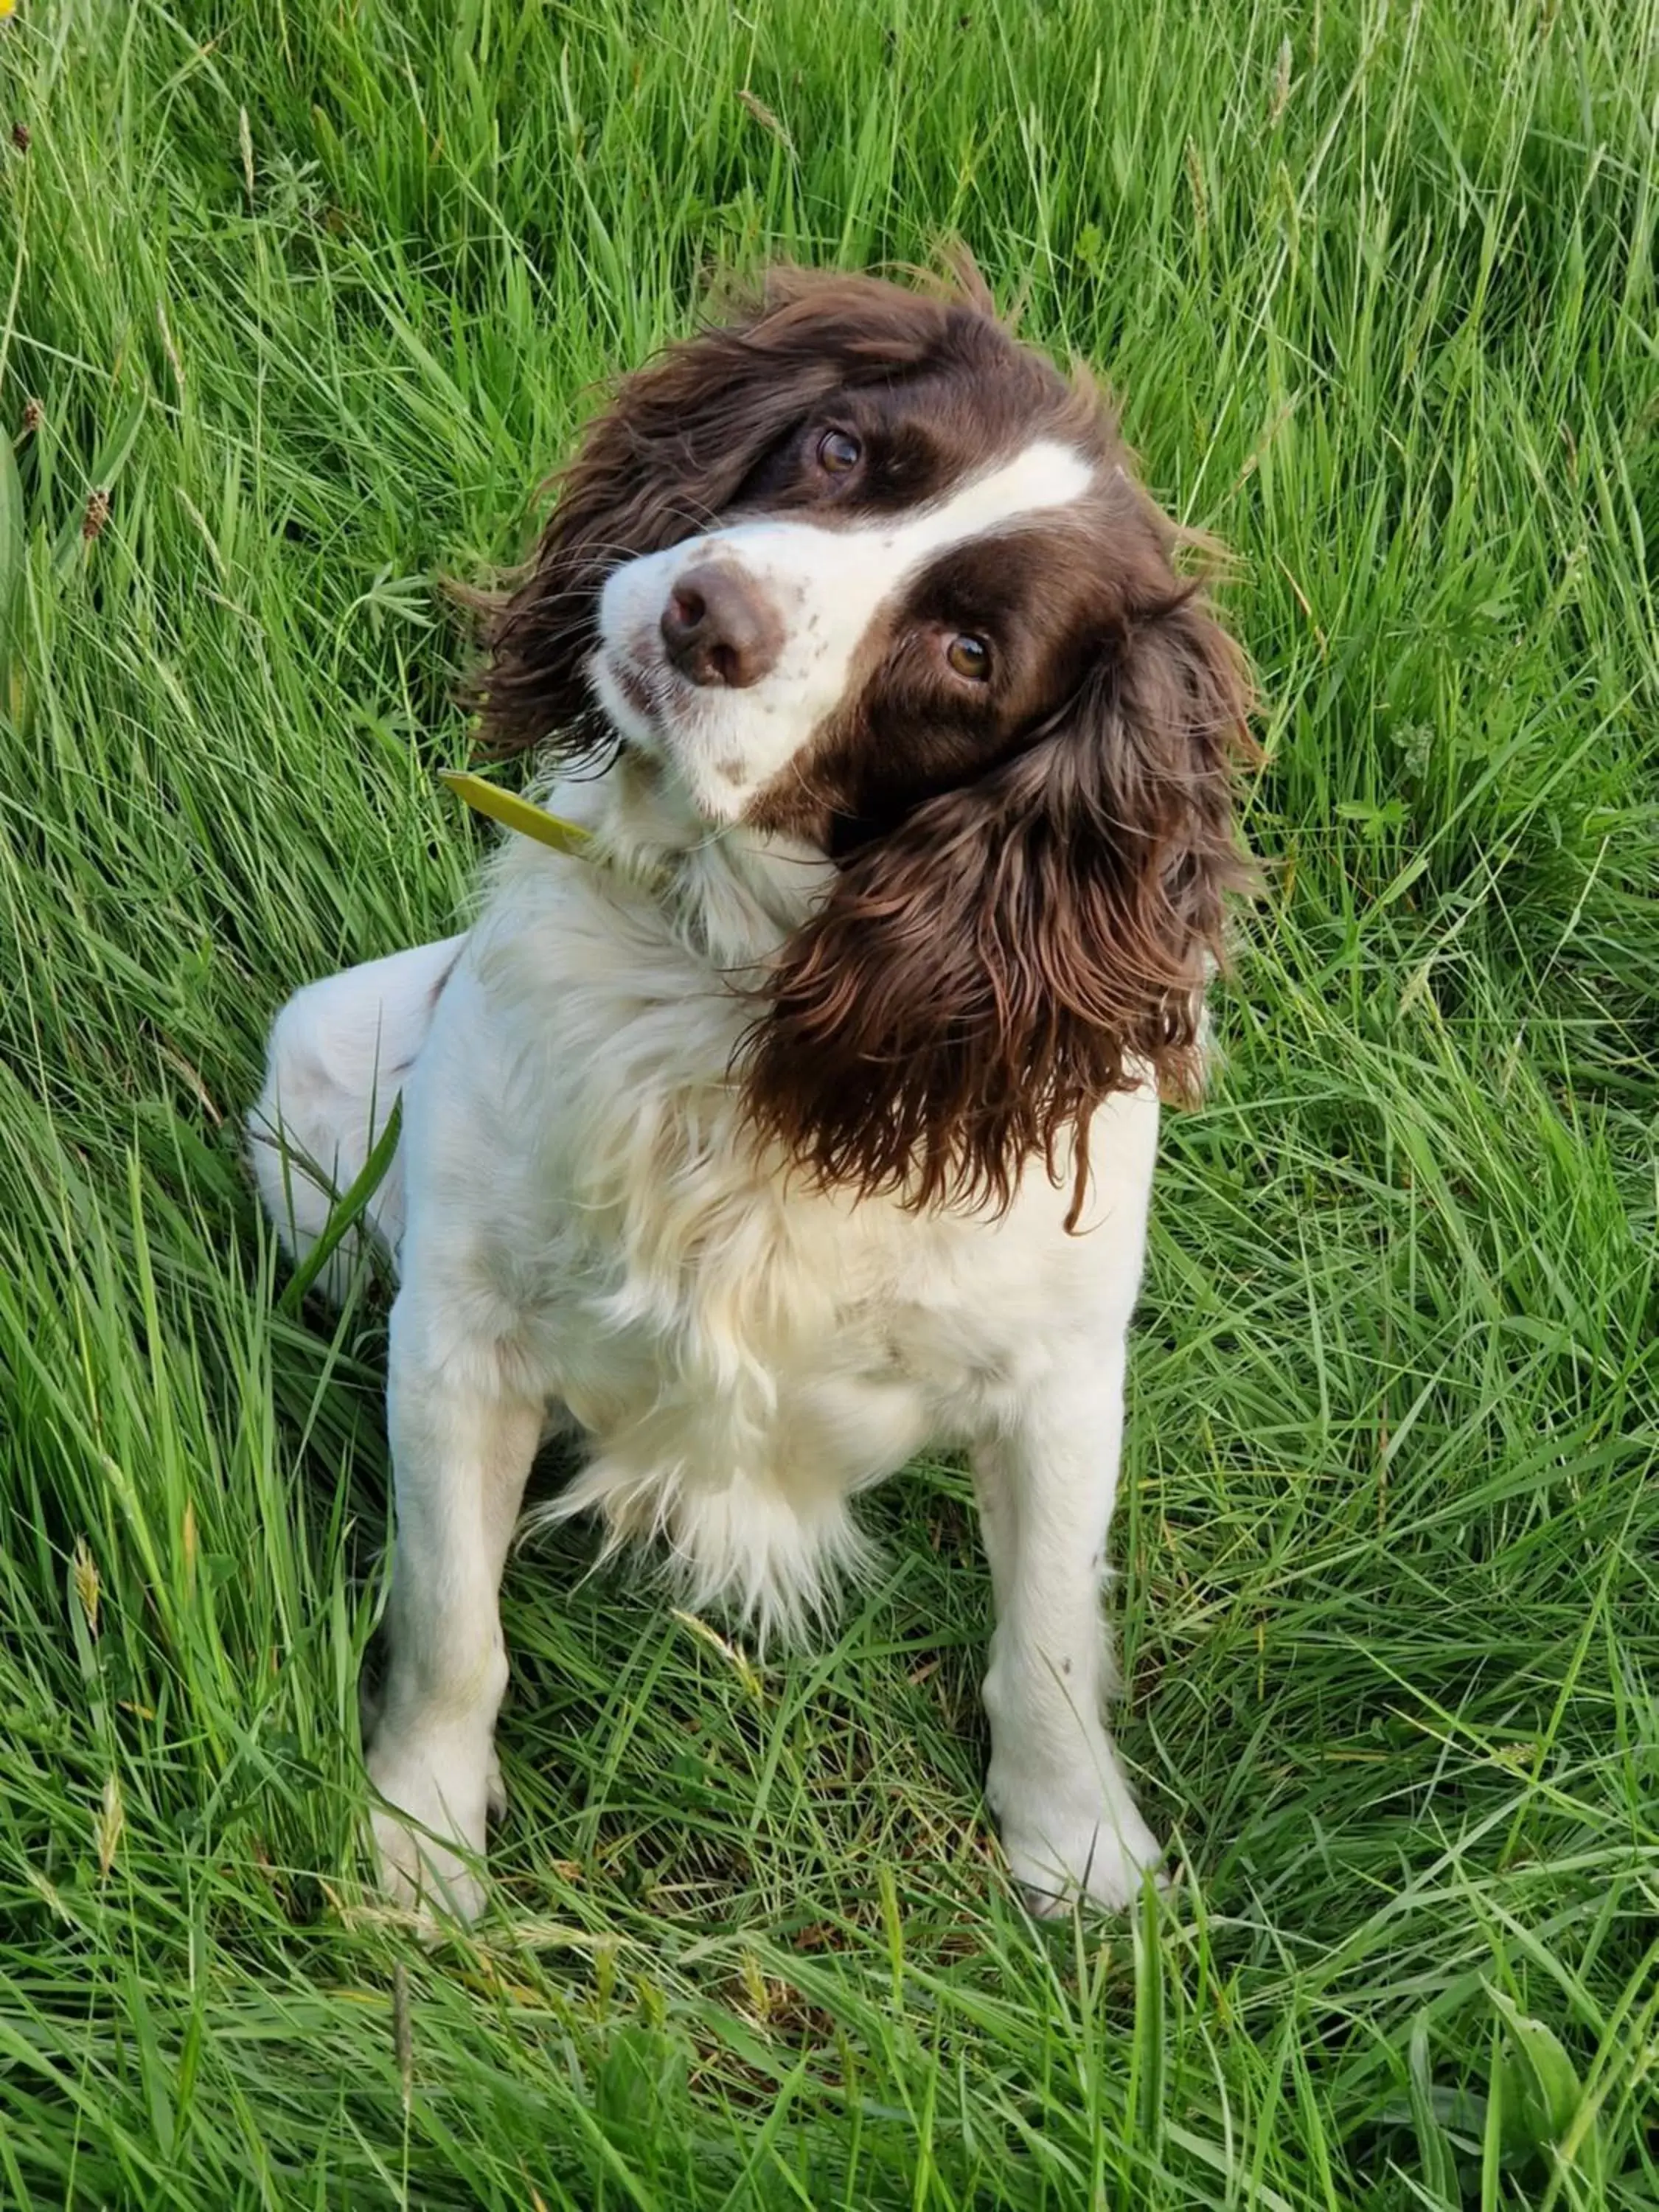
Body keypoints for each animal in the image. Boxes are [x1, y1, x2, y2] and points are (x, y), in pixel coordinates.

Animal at [253, 259, 1256, 1920]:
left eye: (971, 658)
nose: (703, 614)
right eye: (844, 452)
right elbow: (456, 1626)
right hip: (320, 1053)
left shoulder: (1059, 1376)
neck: (733, 981)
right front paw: (417, 1849)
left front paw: (1079, 1857)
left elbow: (1045, 1642)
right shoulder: (463, 1334)